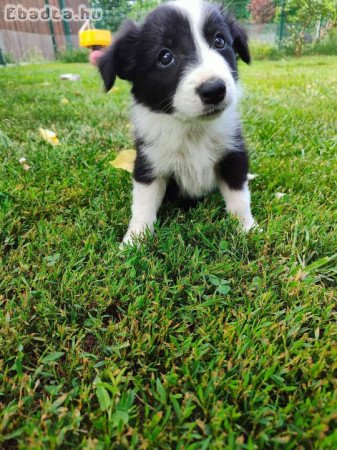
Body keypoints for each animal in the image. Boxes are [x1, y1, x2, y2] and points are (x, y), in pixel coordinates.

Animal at [98, 0, 256, 244]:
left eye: (219, 41)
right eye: (165, 57)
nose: (214, 90)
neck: (191, 128)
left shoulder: (233, 154)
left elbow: (239, 197)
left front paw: (247, 228)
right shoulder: (149, 162)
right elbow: (142, 205)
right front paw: (134, 241)